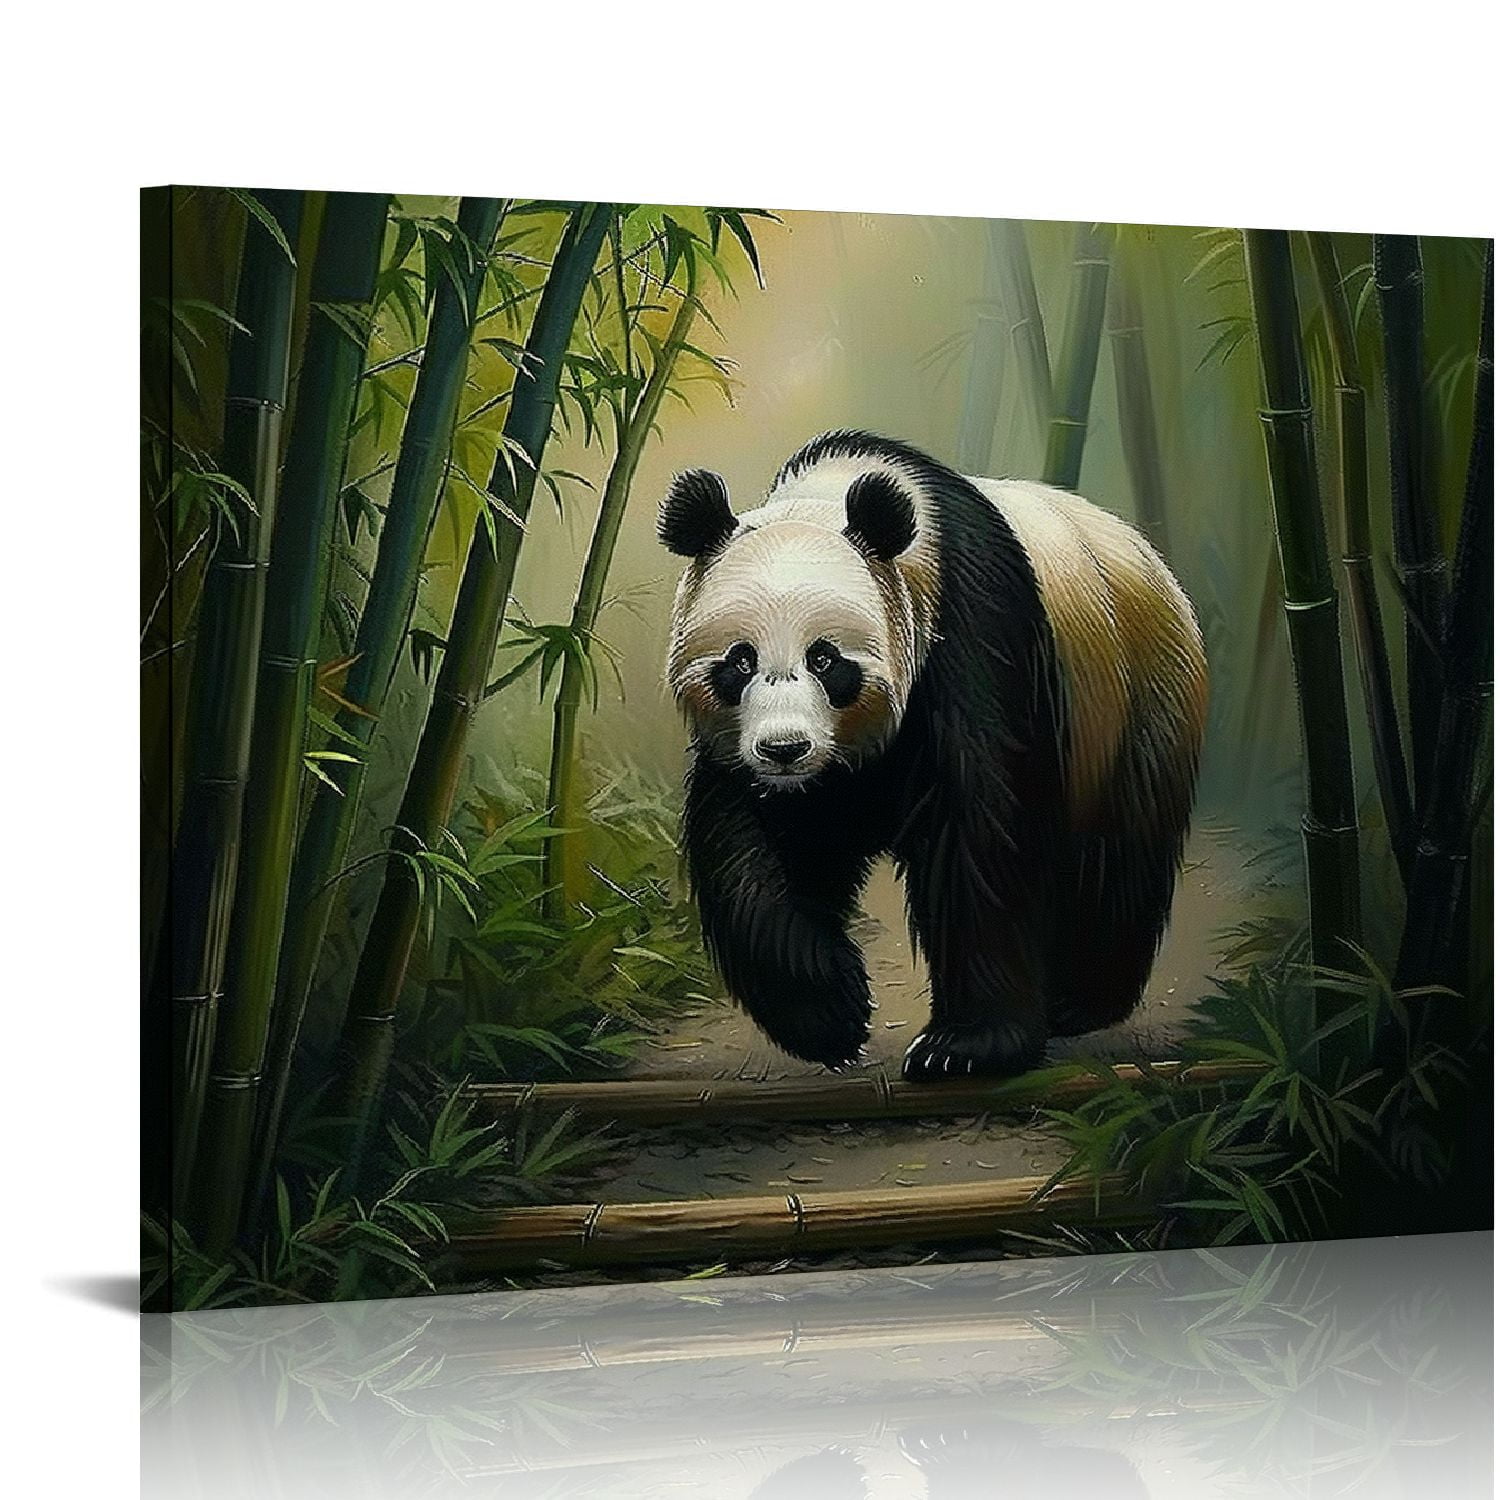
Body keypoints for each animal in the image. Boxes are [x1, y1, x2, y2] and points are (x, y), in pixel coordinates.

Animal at [659, 431, 1207, 1080]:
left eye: (825, 659)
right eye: (740, 662)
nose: (785, 749)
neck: (837, 494)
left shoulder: (973, 630)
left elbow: (984, 823)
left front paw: (966, 1047)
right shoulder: (763, 763)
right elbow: (758, 851)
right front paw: (831, 1015)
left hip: (1137, 695)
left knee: (1118, 853)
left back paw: (1080, 1001)